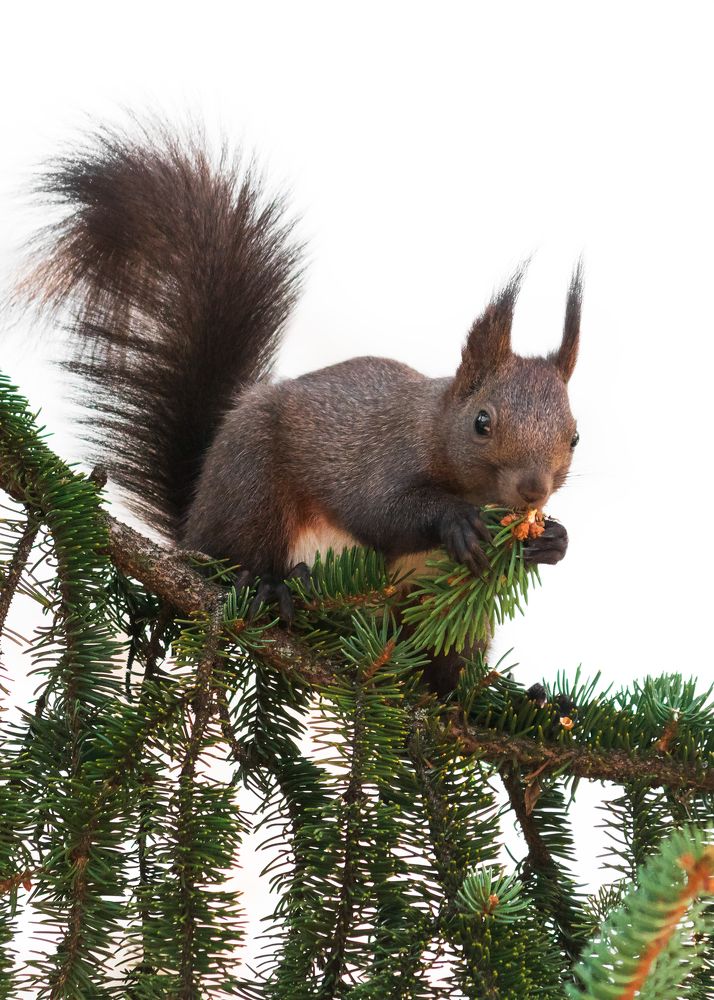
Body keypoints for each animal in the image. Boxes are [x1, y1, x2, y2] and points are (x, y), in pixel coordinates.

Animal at [22, 122, 581, 692]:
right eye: (481, 422)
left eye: (575, 436)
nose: (533, 490)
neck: (433, 427)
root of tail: (192, 526)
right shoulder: (381, 456)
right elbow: (381, 510)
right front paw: (457, 520)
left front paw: (554, 540)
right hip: (252, 488)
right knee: (241, 556)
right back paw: (270, 588)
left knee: (442, 651)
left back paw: (474, 691)